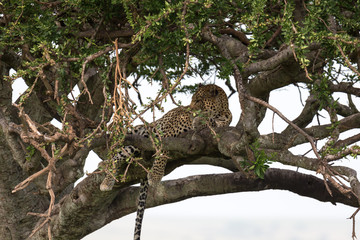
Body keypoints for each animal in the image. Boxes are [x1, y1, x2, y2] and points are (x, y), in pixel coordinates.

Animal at [100, 83, 232, 240]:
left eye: (199, 101)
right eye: (192, 100)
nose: (188, 110)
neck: (220, 114)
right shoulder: (167, 132)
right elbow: (163, 151)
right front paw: (156, 175)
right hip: (139, 133)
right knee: (117, 155)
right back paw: (105, 177)